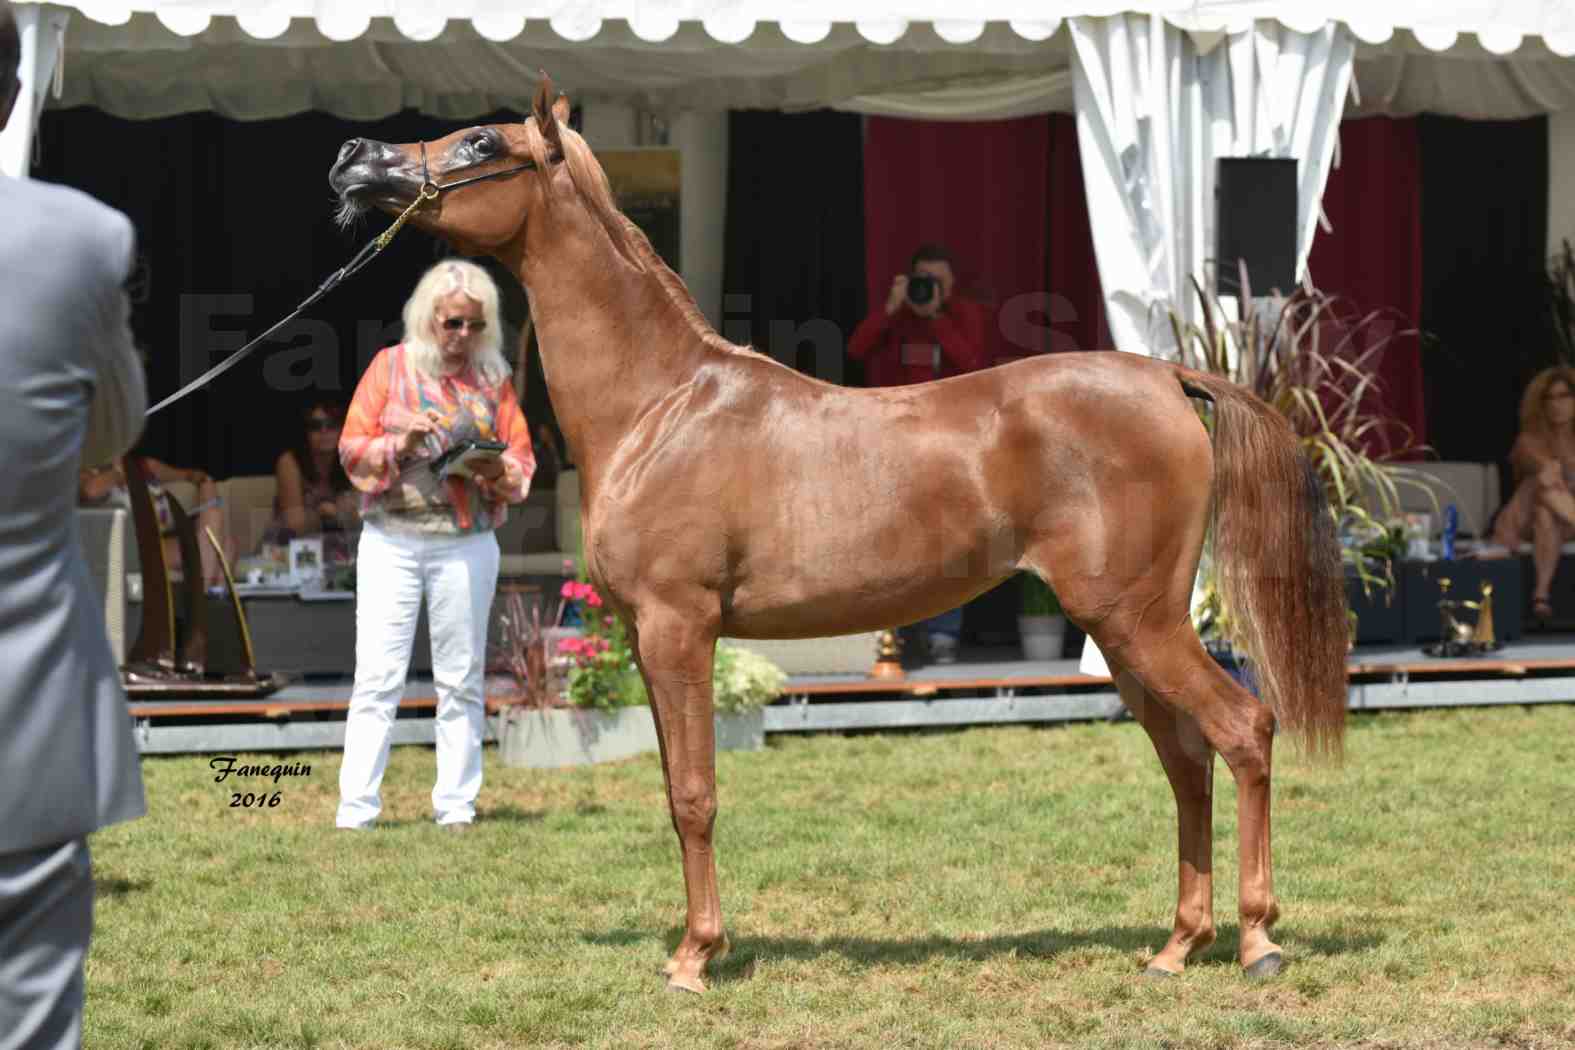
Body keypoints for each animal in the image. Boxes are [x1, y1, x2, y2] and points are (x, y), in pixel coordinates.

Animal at [329, 82, 1341, 994]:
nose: (353, 159)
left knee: (1242, 730)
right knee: (1186, 762)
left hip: (1139, 620)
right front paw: (697, 945)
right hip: (1123, 631)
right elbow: (672, 788)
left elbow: (694, 796)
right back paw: (1177, 947)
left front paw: (695, 959)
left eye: (478, 144)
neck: (662, 406)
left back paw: (1257, 943)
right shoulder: (649, 640)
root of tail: (1168, 378)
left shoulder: (678, 629)